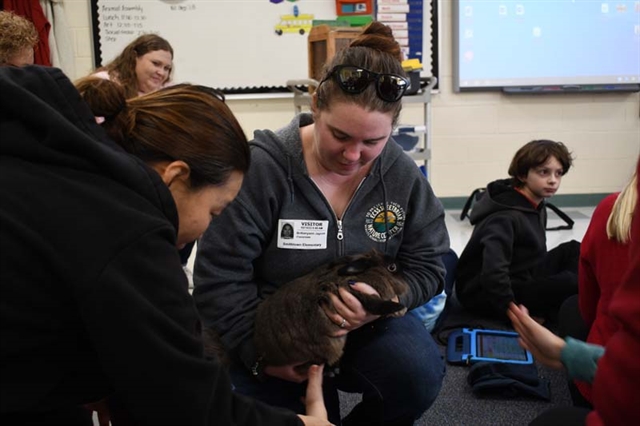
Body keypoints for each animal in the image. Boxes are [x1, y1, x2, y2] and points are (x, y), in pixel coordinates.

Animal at [252, 250, 408, 372]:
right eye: (392, 267)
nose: (405, 275)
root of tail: (263, 351)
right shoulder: (360, 293)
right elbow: (379, 305)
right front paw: (400, 308)